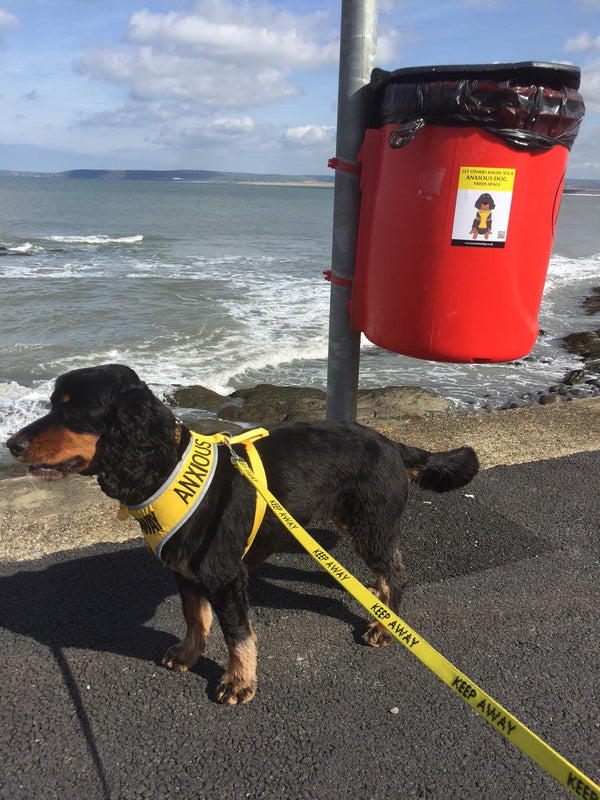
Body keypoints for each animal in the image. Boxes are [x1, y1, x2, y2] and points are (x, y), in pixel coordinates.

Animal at [5, 366, 478, 704]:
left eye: (71, 410)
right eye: (52, 404)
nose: (11, 444)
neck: (164, 465)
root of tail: (392, 442)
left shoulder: (225, 576)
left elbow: (238, 635)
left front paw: (239, 682)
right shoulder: (184, 571)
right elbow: (195, 617)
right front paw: (188, 654)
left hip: (370, 525)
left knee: (394, 575)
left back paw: (384, 625)